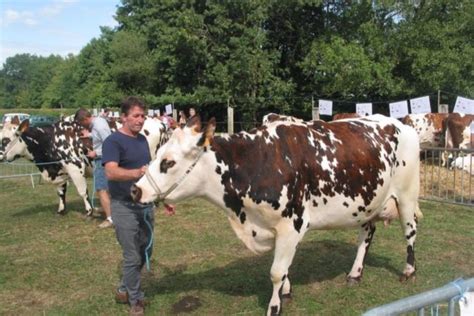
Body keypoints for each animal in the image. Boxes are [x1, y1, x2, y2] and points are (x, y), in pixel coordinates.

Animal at [131, 114, 422, 316]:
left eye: (168, 162)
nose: (136, 190)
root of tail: (399, 123)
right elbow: (283, 269)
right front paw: (287, 291)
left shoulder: (292, 224)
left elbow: (275, 271)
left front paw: (274, 306)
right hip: (368, 202)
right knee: (367, 233)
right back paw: (355, 273)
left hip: (407, 193)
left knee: (410, 231)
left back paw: (408, 270)